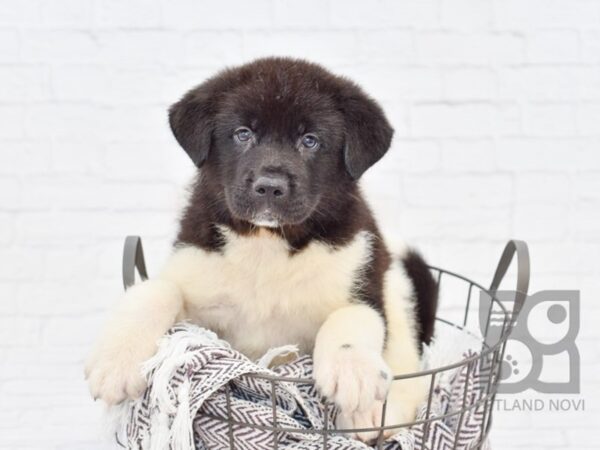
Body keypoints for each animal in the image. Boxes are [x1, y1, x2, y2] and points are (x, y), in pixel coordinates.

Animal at [85, 57, 436, 442]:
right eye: (243, 134)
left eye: (310, 141)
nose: (269, 186)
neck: (267, 245)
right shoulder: (198, 291)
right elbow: (156, 289)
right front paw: (116, 359)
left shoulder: (363, 274)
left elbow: (353, 315)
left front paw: (353, 374)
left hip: (399, 292)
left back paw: (372, 415)